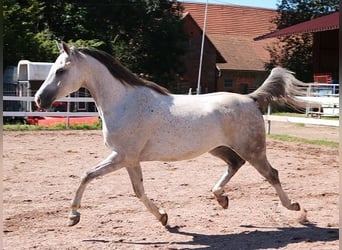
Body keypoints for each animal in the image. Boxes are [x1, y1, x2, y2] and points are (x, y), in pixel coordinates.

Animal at [34, 41, 308, 227]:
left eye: (60, 71)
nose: (39, 100)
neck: (124, 101)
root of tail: (250, 99)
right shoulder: (129, 159)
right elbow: (136, 190)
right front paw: (164, 218)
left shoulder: (122, 156)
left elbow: (88, 176)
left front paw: (73, 216)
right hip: (218, 148)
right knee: (235, 164)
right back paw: (221, 198)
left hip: (252, 149)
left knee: (271, 174)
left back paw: (296, 208)